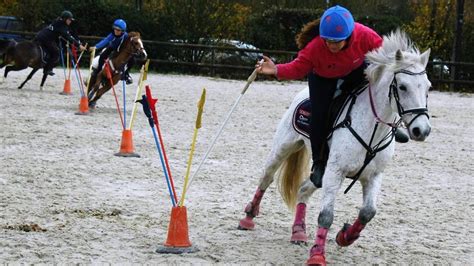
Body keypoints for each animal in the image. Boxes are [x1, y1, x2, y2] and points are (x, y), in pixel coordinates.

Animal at [239, 29, 432, 266]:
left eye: (428, 87)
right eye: (402, 87)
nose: (422, 130)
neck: (371, 127)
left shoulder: (374, 175)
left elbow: (368, 212)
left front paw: (345, 236)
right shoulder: (335, 171)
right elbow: (326, 216)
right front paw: (317, 256)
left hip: (319, 176)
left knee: (303, 189)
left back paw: (298, 231)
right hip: (283, 148)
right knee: (266, 178)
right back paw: (248, 217)